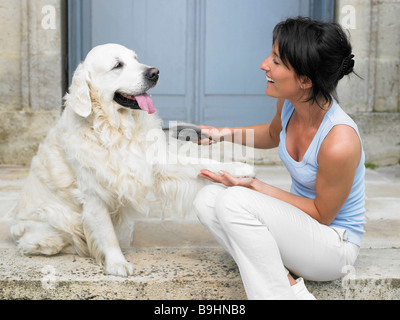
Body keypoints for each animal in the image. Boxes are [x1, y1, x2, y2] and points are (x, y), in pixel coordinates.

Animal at [7, 43, 253, 276]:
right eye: (118, 65)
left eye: (136, 58)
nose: (155, 72)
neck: (115, 128)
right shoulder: (94, 193)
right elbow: (106, 233)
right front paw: (116, 263)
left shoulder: (155, 161)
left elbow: (198, 162)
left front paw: (237, 168)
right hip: (51, 220)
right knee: (46, 241)